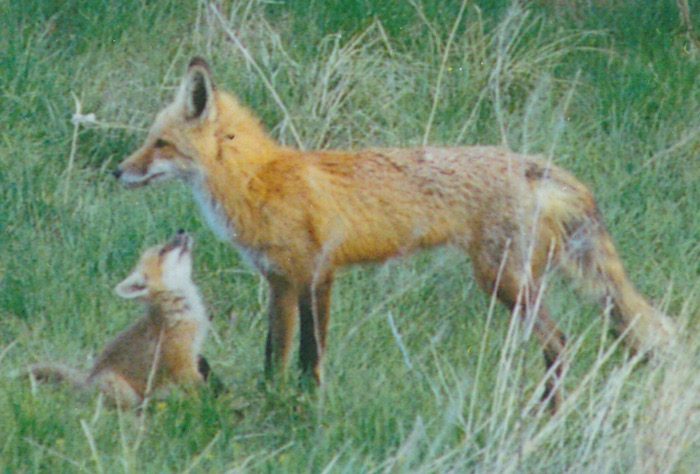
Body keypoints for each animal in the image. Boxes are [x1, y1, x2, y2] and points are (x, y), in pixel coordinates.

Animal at [30, 231, 211, 408]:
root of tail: (86, 382)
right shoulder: (182, 365)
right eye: (162, 251)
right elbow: (199, 388)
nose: (181, 231)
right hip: (122, 390)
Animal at [113, 57, 672, 410]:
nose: (117, 172)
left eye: (160, 144)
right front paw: (273, 400)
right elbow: (275, 354)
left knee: (561, 342)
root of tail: (539, 166)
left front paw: (307, 410)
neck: (260, 180)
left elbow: (310, 357)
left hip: (504, 282)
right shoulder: (279, 282)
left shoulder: (318, 274)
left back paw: (547, 412)